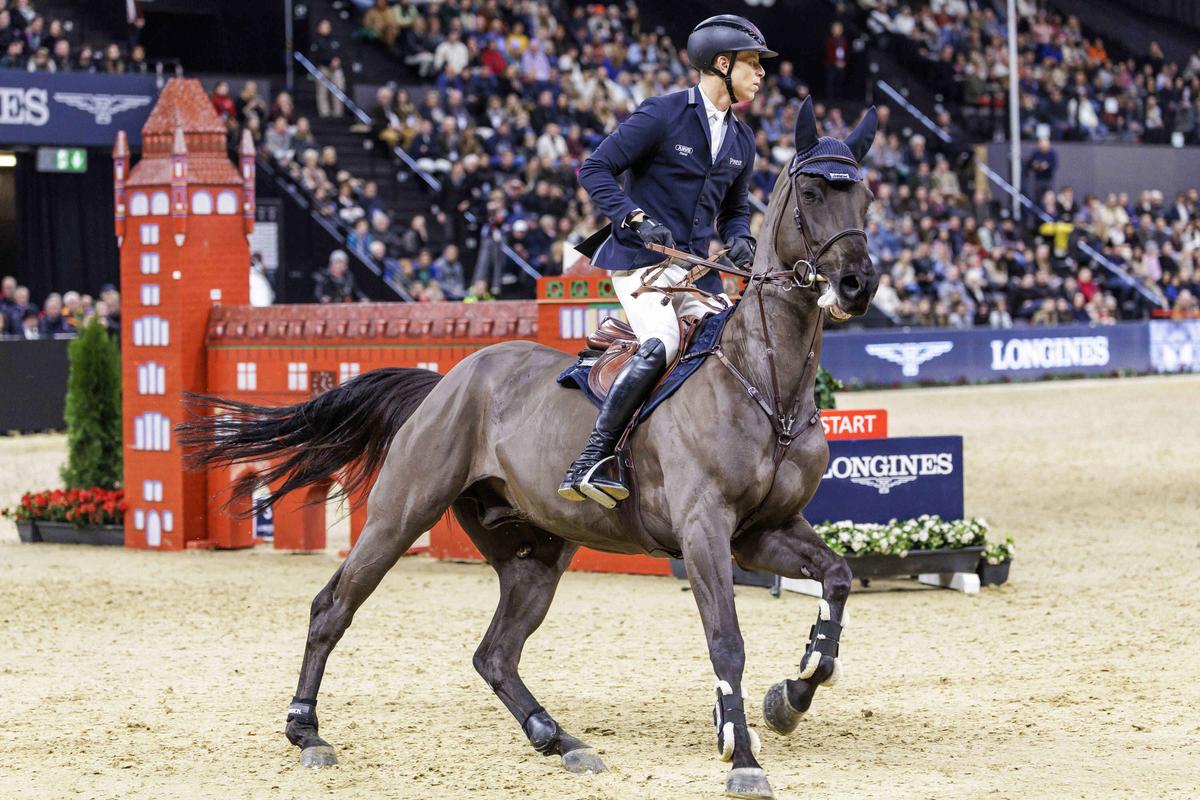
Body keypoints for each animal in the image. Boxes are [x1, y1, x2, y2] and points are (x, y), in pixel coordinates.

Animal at [180, 98, 878, 800]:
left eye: (866, 197)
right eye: (813, 193)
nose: (856, 286)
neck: (766, 384)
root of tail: (447, 380)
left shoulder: (762, 531)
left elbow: (839, 578)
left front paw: (791, 695)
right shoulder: (705, 530)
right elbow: (726, 639)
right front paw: (743, 756)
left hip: (535, 552)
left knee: (495, 652)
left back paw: (559, 738)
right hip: (401, 515)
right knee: (334, 607)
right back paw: (307, 731)